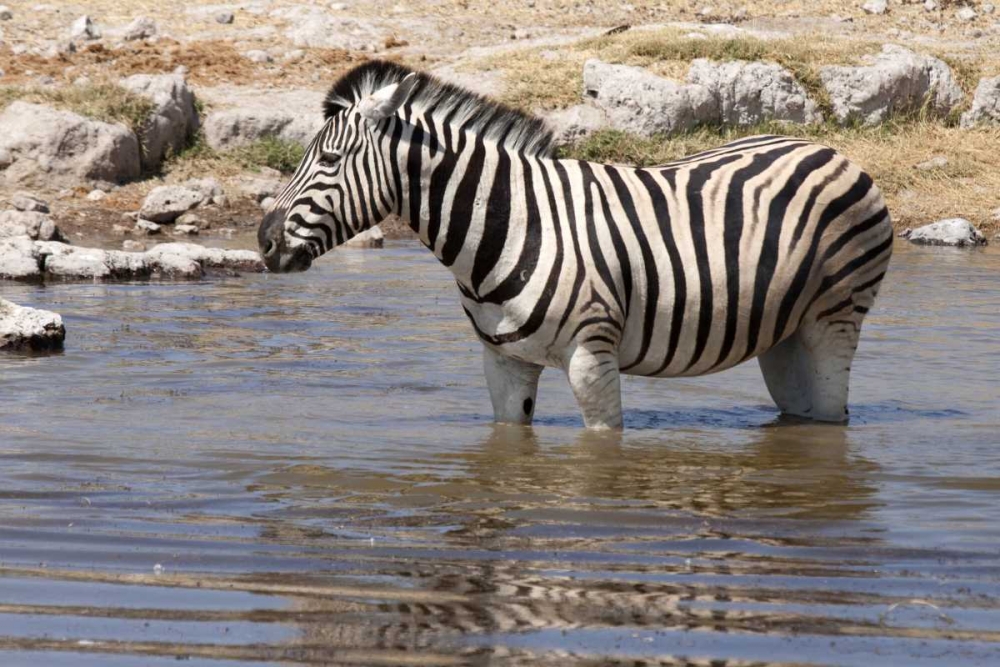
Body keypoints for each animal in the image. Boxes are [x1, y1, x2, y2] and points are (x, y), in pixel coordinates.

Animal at [258, 61, 893, 430]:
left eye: (330, 160)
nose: (263, 241)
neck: (511, 224)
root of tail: (828, 150)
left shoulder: (593, 357)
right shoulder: (504, 362)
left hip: (834, 319)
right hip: (784, 333)